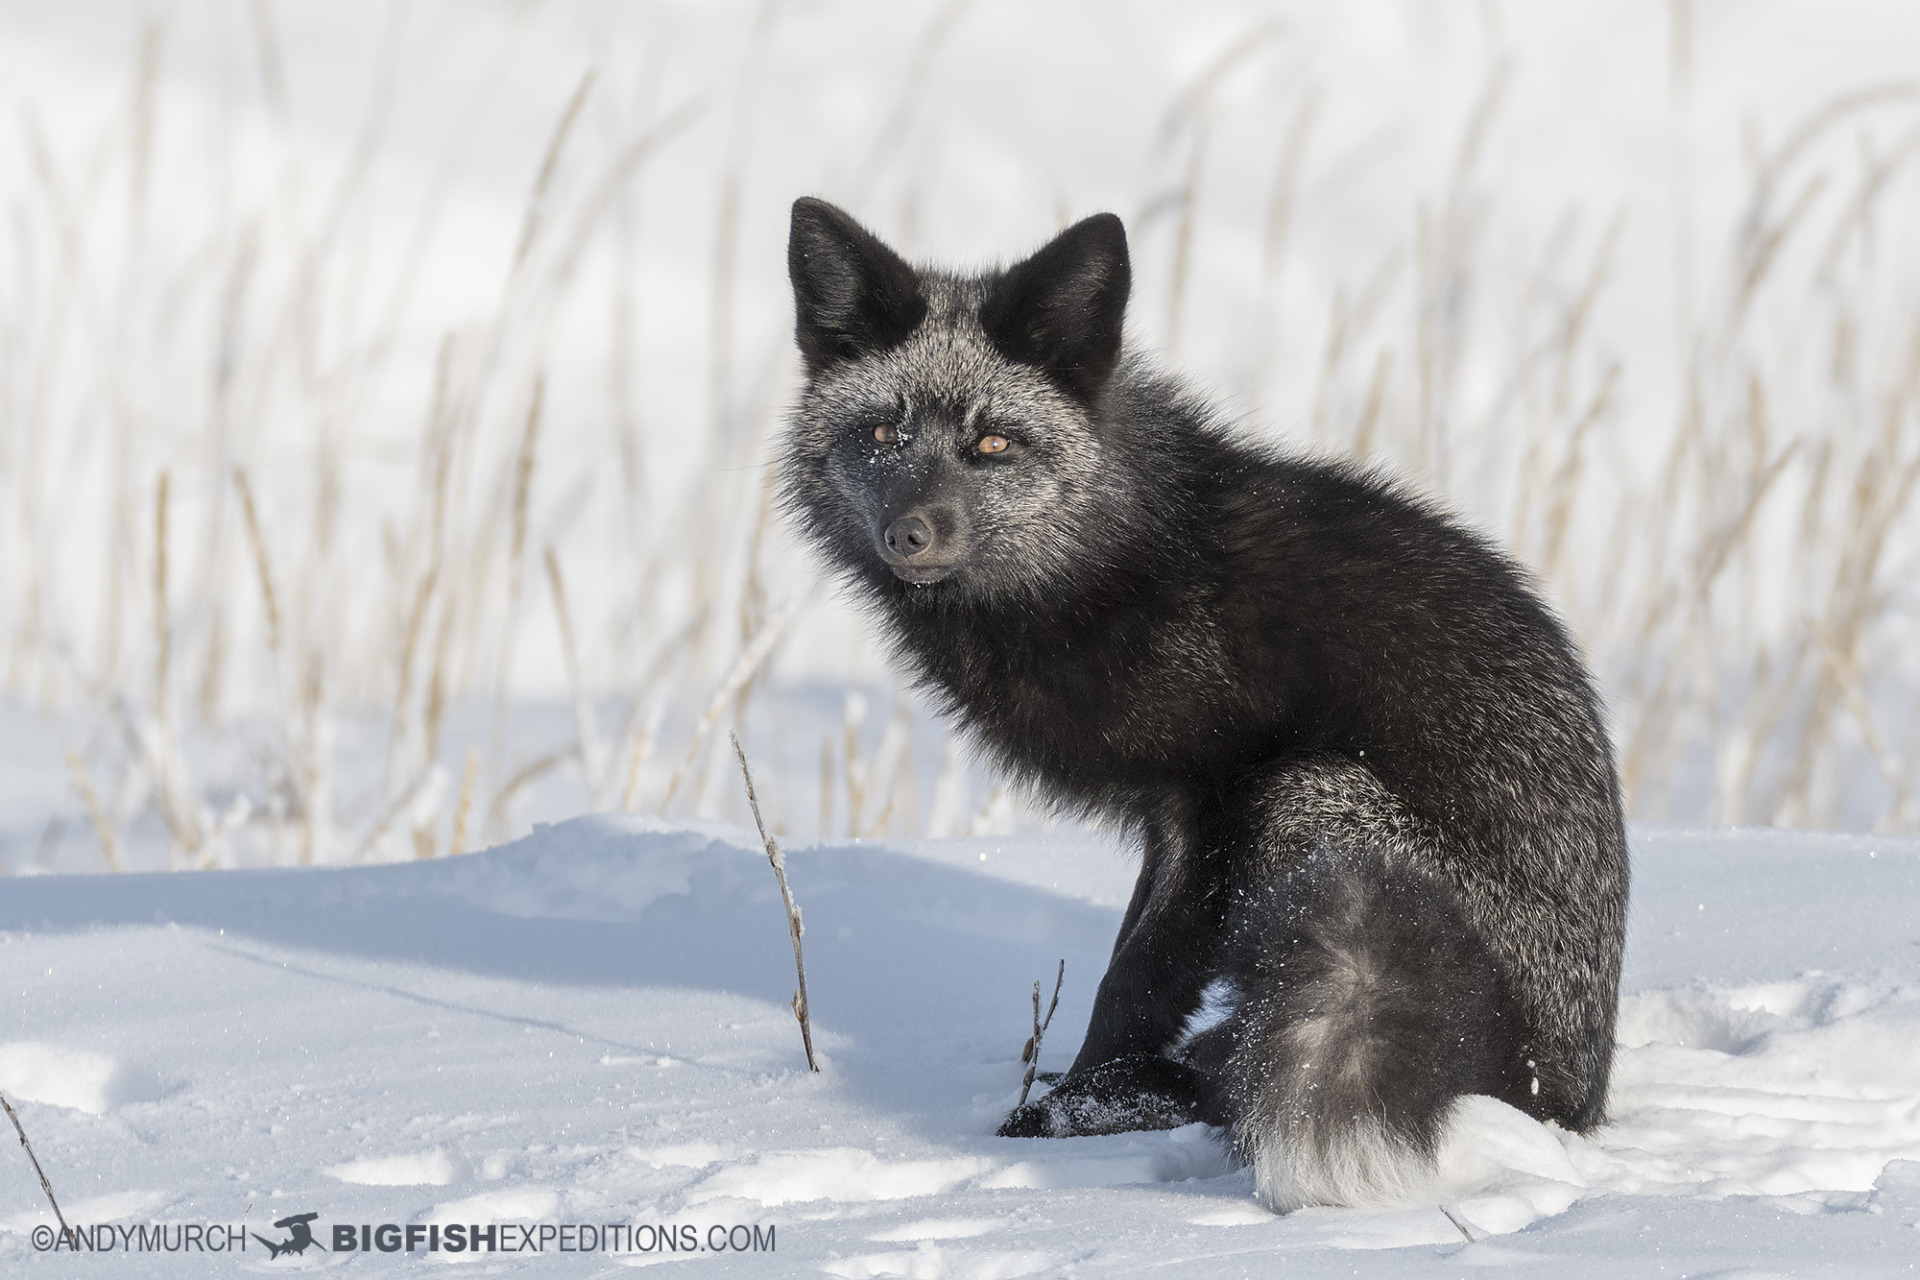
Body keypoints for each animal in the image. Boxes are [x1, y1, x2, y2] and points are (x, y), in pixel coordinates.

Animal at [778, 196, 1628, 1211]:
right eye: (880, 437)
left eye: (992, 443)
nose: (910, 532)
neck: (1121, 564)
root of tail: (1574, 1096)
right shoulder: (1172, 818)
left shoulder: (1210, 800)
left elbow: (1134, 981)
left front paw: (1075, 1109)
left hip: (1311, 795)